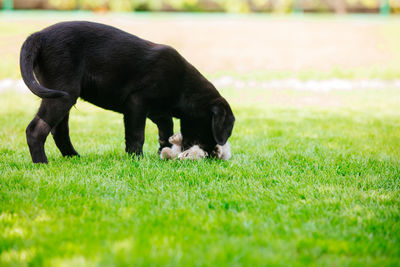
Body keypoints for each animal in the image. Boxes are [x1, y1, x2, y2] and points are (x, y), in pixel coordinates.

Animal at [19, 21, 234, 163]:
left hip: (62, 96)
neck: (183, 86)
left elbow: (166, 130)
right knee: (36, 129)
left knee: (59, 130)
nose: (211, 154)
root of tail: (39, 35)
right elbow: (136, 134)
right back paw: (42, 163)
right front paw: (137, 158)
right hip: (63, 94)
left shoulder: (159, 112)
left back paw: (73, 157)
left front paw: (163, 150)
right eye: (211, 129)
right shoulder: (137, 102)